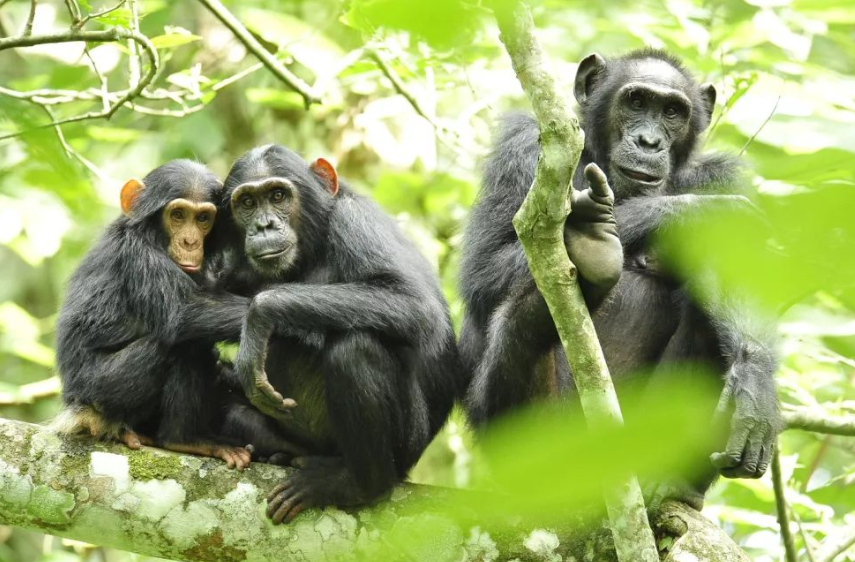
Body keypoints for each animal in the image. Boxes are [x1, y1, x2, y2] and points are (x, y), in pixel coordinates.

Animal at [53, 159, 252, 468]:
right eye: (178, 215)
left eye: (203, 218)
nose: (190, 242)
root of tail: (77, 408)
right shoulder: (138, 256)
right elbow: (184, 311)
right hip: (102, 390)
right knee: (185, 343)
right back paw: (185, 439)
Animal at [462, 49, 784, 508]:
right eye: (635, 101)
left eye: (672, 112)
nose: (650, 141)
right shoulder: (520, 147)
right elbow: (484, 268)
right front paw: (690, 212)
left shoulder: (722, 175)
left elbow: (739, 271)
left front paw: (755, 389)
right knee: (519, 325)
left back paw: (668, 482)